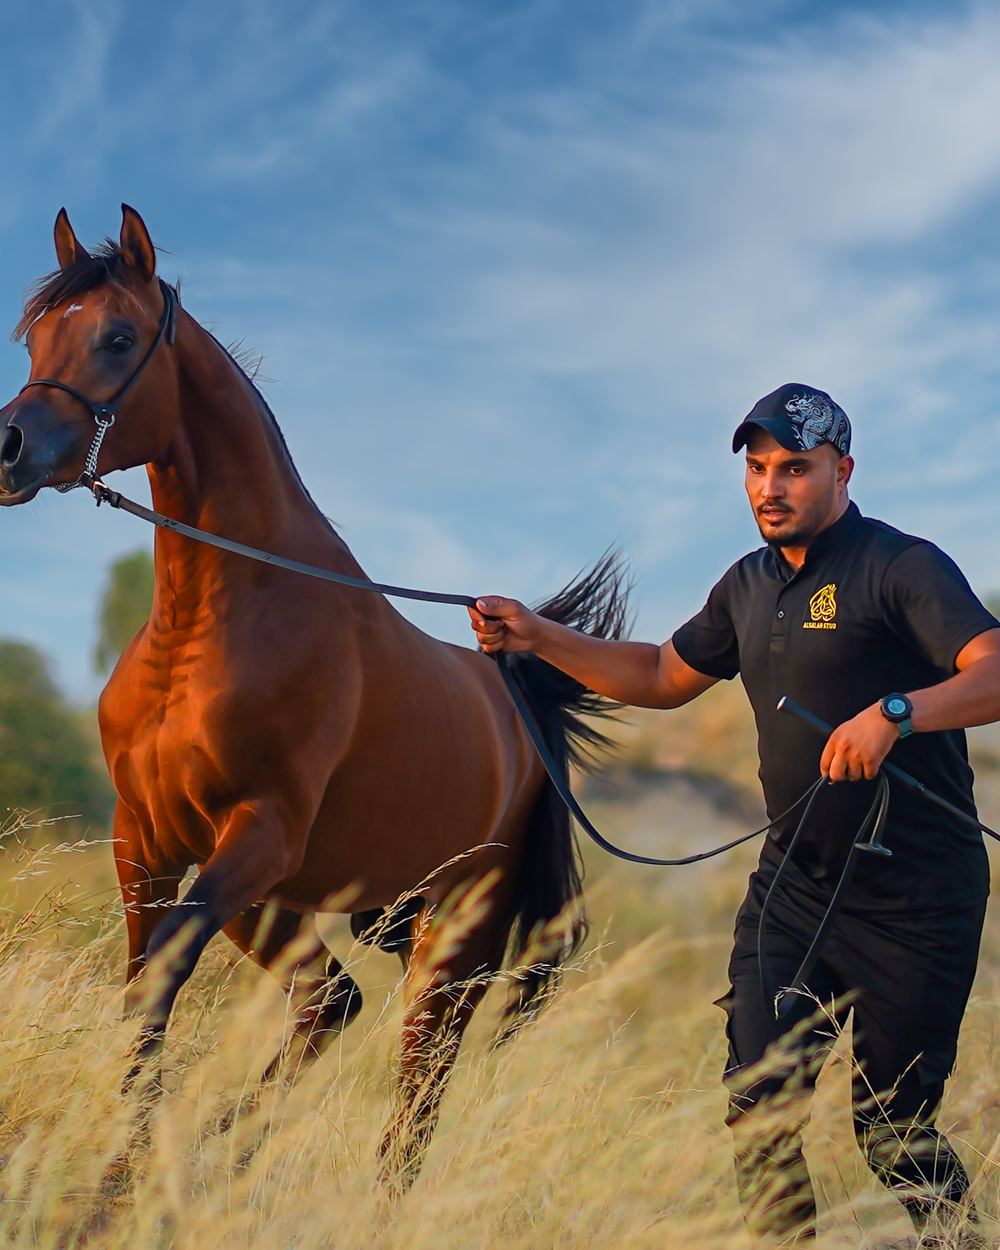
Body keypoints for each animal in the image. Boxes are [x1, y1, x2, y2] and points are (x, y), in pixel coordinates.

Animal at [0, 205, 628, 1183]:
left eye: (117, 337)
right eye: (34, 336)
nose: (9, 450)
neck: (215, 623)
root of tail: (522, 720)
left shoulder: (259, 832)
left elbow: (163, 979)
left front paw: (116, 1182)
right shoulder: (147, 840)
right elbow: (143, 992)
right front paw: (130, 1170)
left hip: (450, 936)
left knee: (417, 1086)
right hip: (332, 908)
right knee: (330, 1006)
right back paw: (215, 1161)